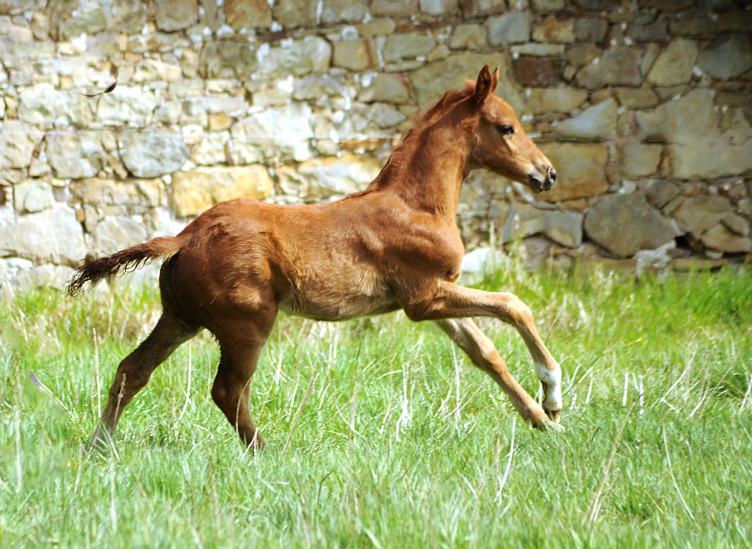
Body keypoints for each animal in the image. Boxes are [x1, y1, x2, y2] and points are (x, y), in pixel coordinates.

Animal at [70, 65, 560, 450]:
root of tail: (184, 237)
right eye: (507, 127)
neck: (415, 205)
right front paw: (553, 393)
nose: (548, 173)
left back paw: (98, 446)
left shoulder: (436, 300)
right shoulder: (424, 297)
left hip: (180, 317)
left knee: (132, 371)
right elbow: (514, 305)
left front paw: (542, 419)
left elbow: (486, 353)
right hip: (247, 322)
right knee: (228, 390)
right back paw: (268, 451)